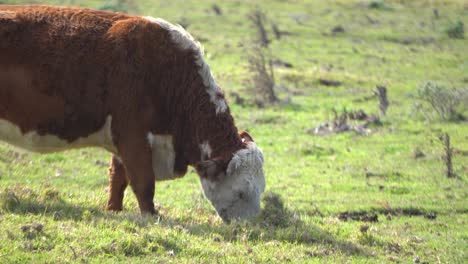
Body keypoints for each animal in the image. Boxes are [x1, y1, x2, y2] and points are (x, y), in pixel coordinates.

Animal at [0, 5, 266, 222]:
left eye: (260, 189)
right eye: (241, 192)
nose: (250, 226)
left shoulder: (123, 139)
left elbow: (118, 178)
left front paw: (113, 209)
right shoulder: (133, 136)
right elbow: (143, 182)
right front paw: (151, 216)